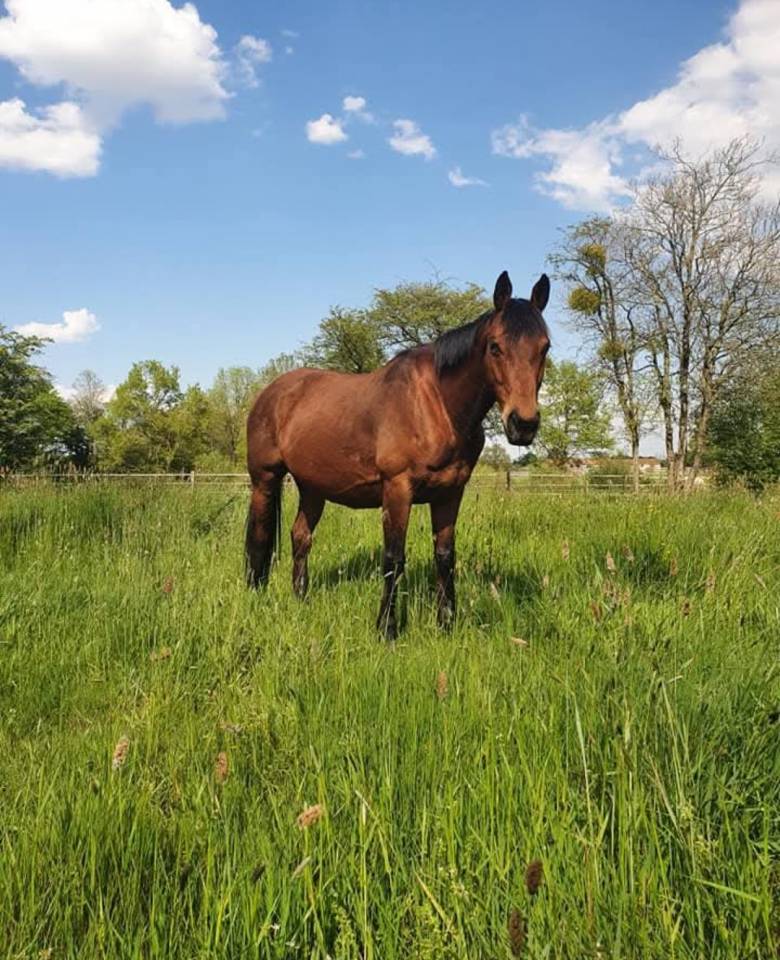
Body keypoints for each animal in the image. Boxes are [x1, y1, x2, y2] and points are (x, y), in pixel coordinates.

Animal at [245, 270, 551, 638]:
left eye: (545, 347)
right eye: (495, 347)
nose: (523, 424)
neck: (438, 405)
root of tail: (270, 393)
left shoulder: (450, 493)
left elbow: (445, 556)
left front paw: (446, 623)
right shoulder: (397, 489)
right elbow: (393, 558)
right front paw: (387, 628)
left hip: (312, 488)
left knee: (301, 537)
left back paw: (300, 599)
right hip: (264, 480)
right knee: (259, 537)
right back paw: (255, 596)